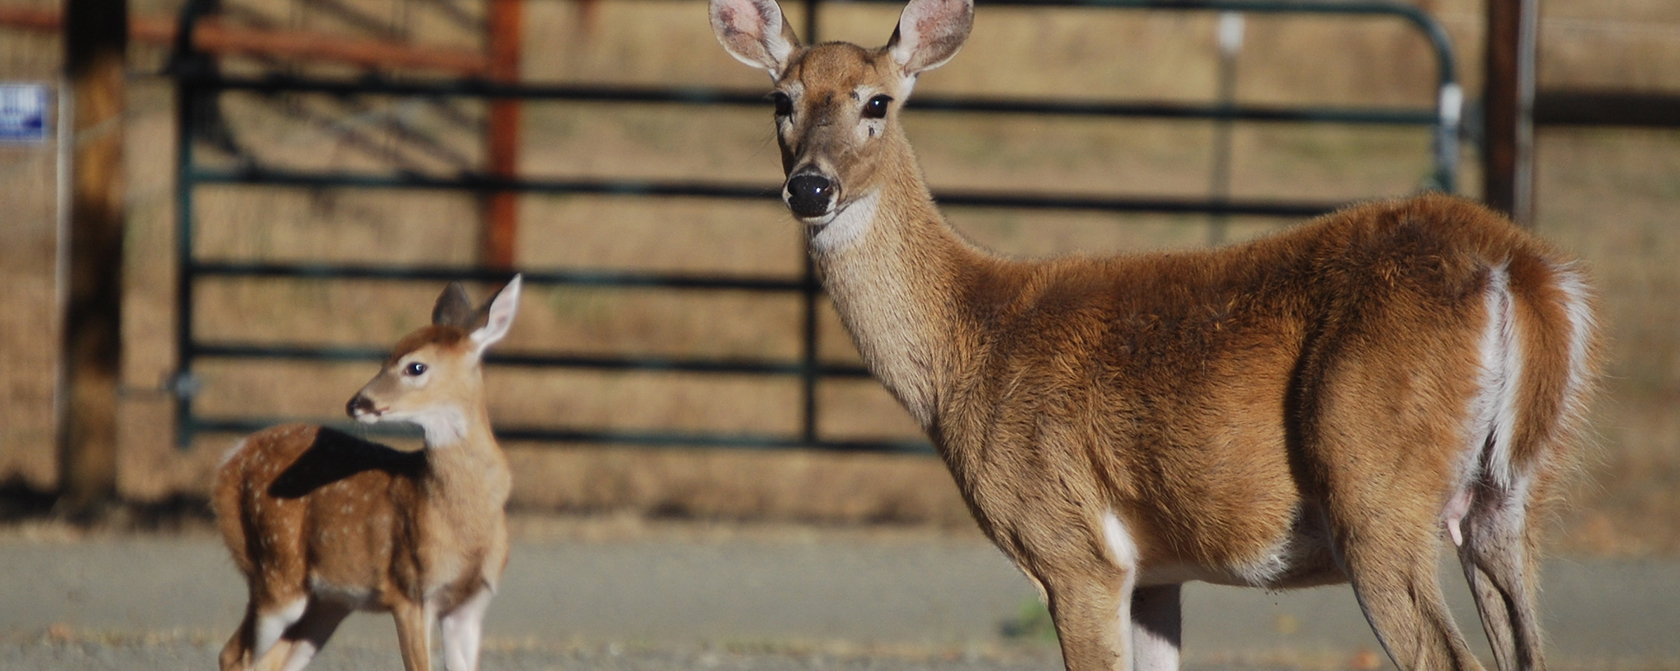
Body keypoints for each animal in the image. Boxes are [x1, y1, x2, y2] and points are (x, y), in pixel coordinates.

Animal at [213, 275, 520, 669]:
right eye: (385, 357)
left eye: (415, 367)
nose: (356, 403)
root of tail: (228, 461)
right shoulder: (409, 590)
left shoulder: (470, 603)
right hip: (275, 569)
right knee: (237, 654)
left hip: (326, 600)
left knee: (269, 659)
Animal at [708, 2, 1599, 669]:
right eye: (780, 100)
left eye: (877, 102)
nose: (810, 187)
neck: (972, 343)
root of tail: (1518, 267)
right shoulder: (1158, 569)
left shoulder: (1071, 545)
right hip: (1511, 497)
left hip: (1375, 487)